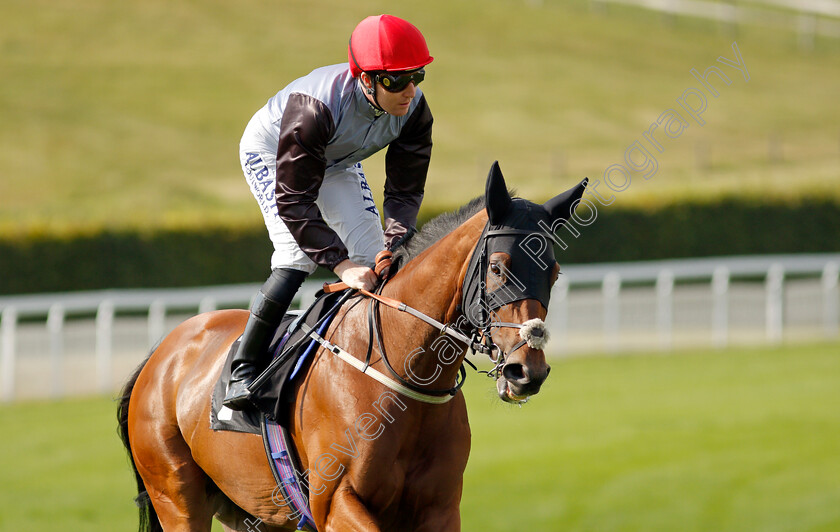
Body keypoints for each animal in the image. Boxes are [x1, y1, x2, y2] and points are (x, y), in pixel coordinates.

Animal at [116, 163, 584, 532]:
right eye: (499, 267)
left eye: (555, 272)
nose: (528, 370)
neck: (402, 377)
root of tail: (160, 354)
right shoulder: (336, 503)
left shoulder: (439, 508)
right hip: (177, 498)